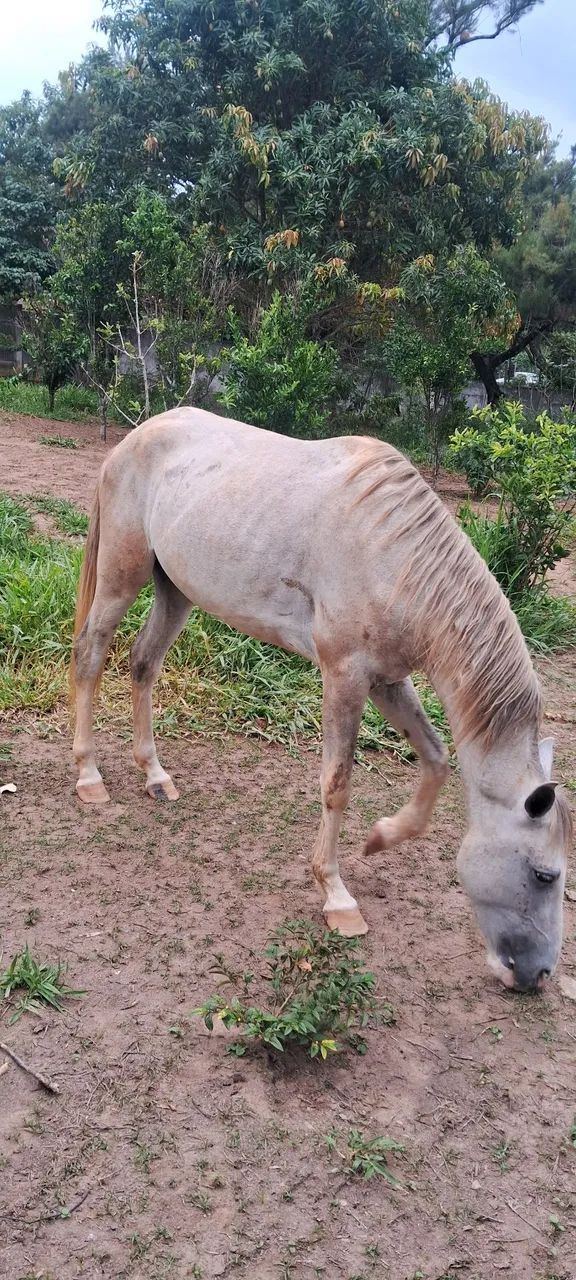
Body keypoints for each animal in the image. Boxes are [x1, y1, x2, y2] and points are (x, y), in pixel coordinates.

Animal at [70, 407, 571, 992]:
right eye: (544, 874)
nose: (539, 974)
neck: (397, 557)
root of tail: (138, 435)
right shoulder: (345, 677)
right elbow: (337, 784)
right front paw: (336, 896)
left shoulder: (386, 681)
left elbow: (436, 759)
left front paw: (380, 838)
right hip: (121, 577)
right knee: (90, 656)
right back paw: (89, 777)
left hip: (174, 591)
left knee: (143, 664)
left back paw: (154, 775)